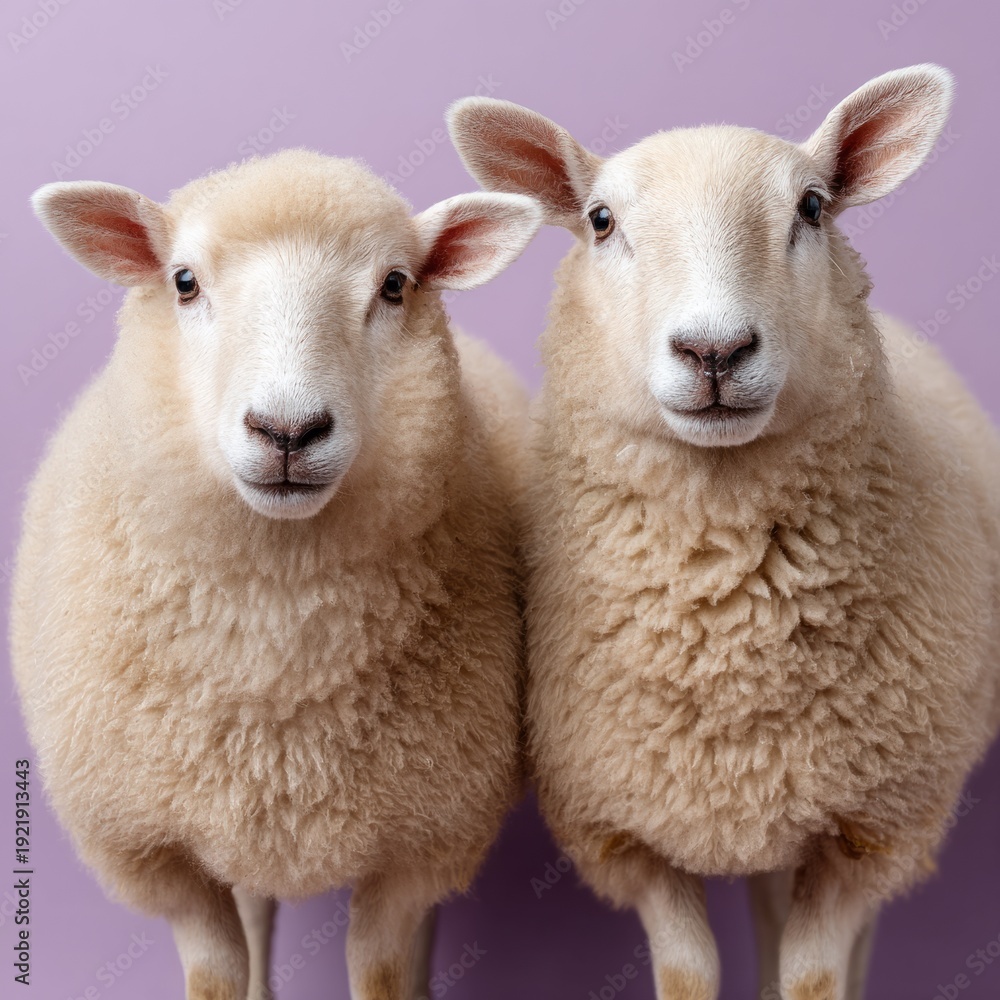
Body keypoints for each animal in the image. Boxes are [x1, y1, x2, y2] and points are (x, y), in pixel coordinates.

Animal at [11, 148, 542, 1000]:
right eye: (184, 281)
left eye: (395, 284)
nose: (287, 430)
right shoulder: (158, 852)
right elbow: (217, 976)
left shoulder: (421, 841)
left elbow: (383, 971)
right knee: (258, 910)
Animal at [447, 65, 1000, 1000]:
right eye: (601, 220)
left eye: (812, 206)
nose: (714, 352)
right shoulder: (628, 832)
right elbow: (688, 974)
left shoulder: (867, 833)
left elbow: (813, 980)